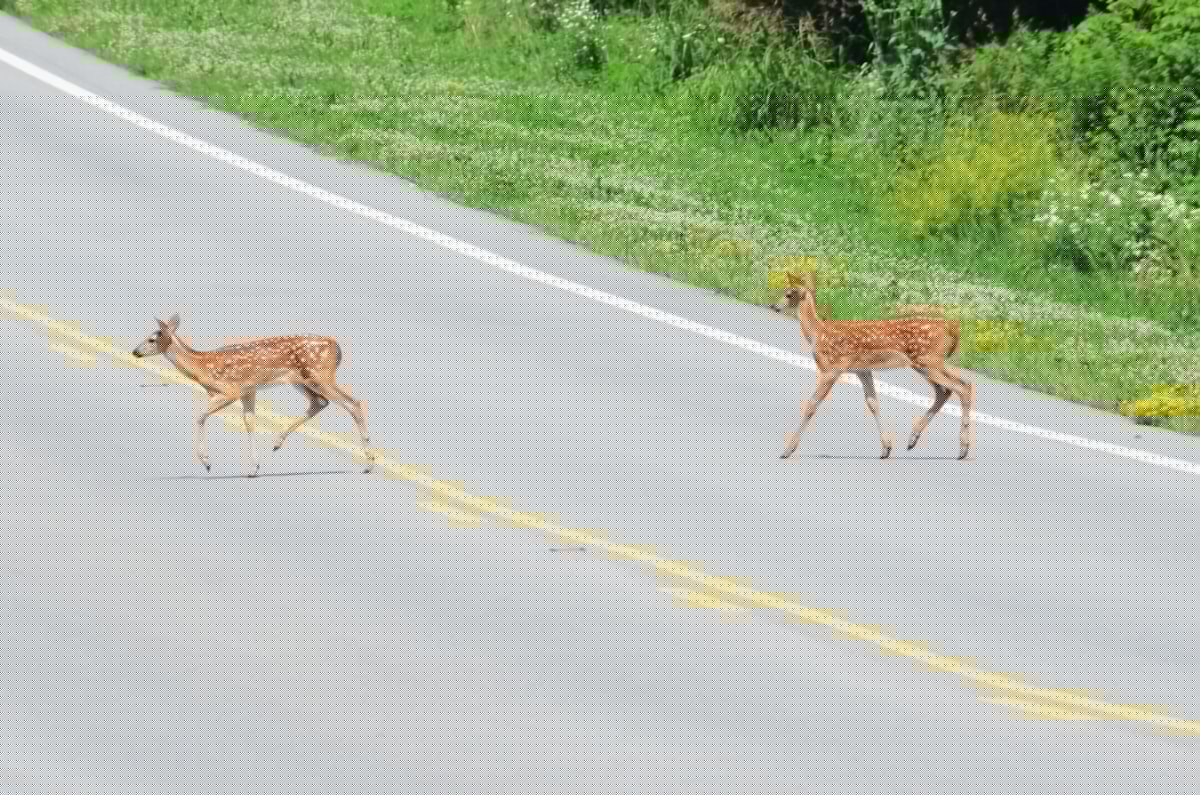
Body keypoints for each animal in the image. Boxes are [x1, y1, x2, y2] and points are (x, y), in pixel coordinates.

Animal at [132, 314, 374, 476]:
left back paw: (369, 464)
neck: (202, 368)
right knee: (321, 402)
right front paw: (254, 468)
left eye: (152, 339)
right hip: (301, 380)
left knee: (353, 403)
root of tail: (338, 347)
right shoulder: (248, 391)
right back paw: (277, 442)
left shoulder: (230, 390)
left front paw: (207, 462)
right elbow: (249, 422)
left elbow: (200, 417)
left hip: (320, 375)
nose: (135, 352)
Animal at [771, 271, 973, 460]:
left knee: (962, 387)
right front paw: (886, 448)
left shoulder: (832, 369)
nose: (773, 306)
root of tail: (951, 329)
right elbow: (873, 403)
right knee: (947, 390)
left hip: (928, 361)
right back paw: (913, 439)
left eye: (789, 294)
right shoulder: (862, 370)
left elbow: (812, 405)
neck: (818, 333)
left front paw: (787, 450)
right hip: (927, 363)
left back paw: (963, 449)